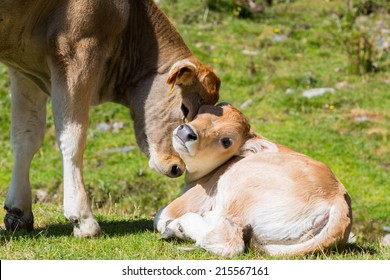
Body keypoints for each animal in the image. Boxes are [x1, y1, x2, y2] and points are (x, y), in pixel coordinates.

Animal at [0, 0, 219, 237]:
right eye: (185, 108)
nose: (176, 167)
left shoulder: (24, 70)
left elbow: (26, 136)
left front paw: (18, 211)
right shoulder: (77, 50)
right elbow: (72, 137)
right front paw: (82, 218)